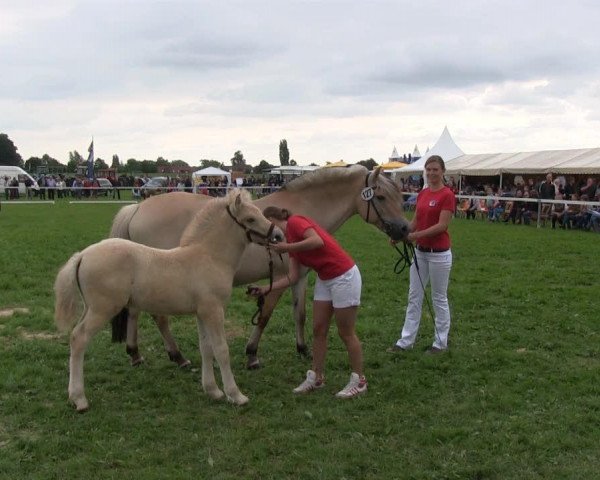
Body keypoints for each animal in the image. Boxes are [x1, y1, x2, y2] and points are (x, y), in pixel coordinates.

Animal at [55, 189, 282, 410]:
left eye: (260, 214)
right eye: (250, 218)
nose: (278, 235)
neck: (209, 256)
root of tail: (82, 255)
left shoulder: (201, 313)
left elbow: (206, 348)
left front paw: (213, 391)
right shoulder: (214, 310)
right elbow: (221, 350)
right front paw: (235, 395)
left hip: (91, 308)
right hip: (102, 309)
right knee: (78, 338)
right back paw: (79, 399)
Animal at [109, 167, 408, 370]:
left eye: (398, 195)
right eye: (381, 197)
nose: (405, 229)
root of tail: (137, 208)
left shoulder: (298, 277)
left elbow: (300, 314)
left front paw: (303, 349)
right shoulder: (277, 279)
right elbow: (264, 316)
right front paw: (252, 354)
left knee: (134, 312)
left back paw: (135, 353)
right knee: (159, 317)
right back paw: (178, 357)